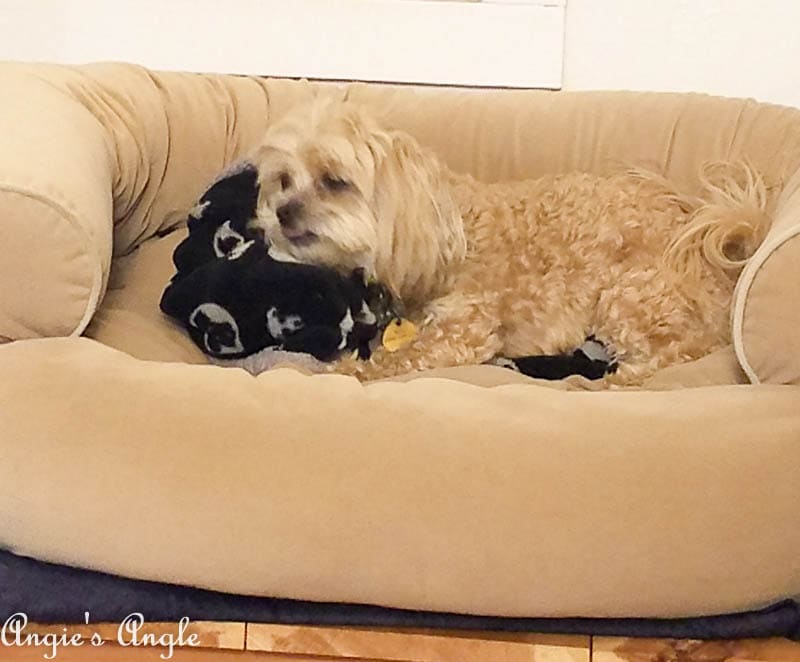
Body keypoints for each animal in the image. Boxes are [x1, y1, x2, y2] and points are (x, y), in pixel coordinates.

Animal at [248, 100, 768, 386]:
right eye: (283, 180)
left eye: (335, 181)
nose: (282, 212)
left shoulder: (463, 330)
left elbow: (399, 357)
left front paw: (346, 372)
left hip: (631, 298)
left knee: (668, 357)